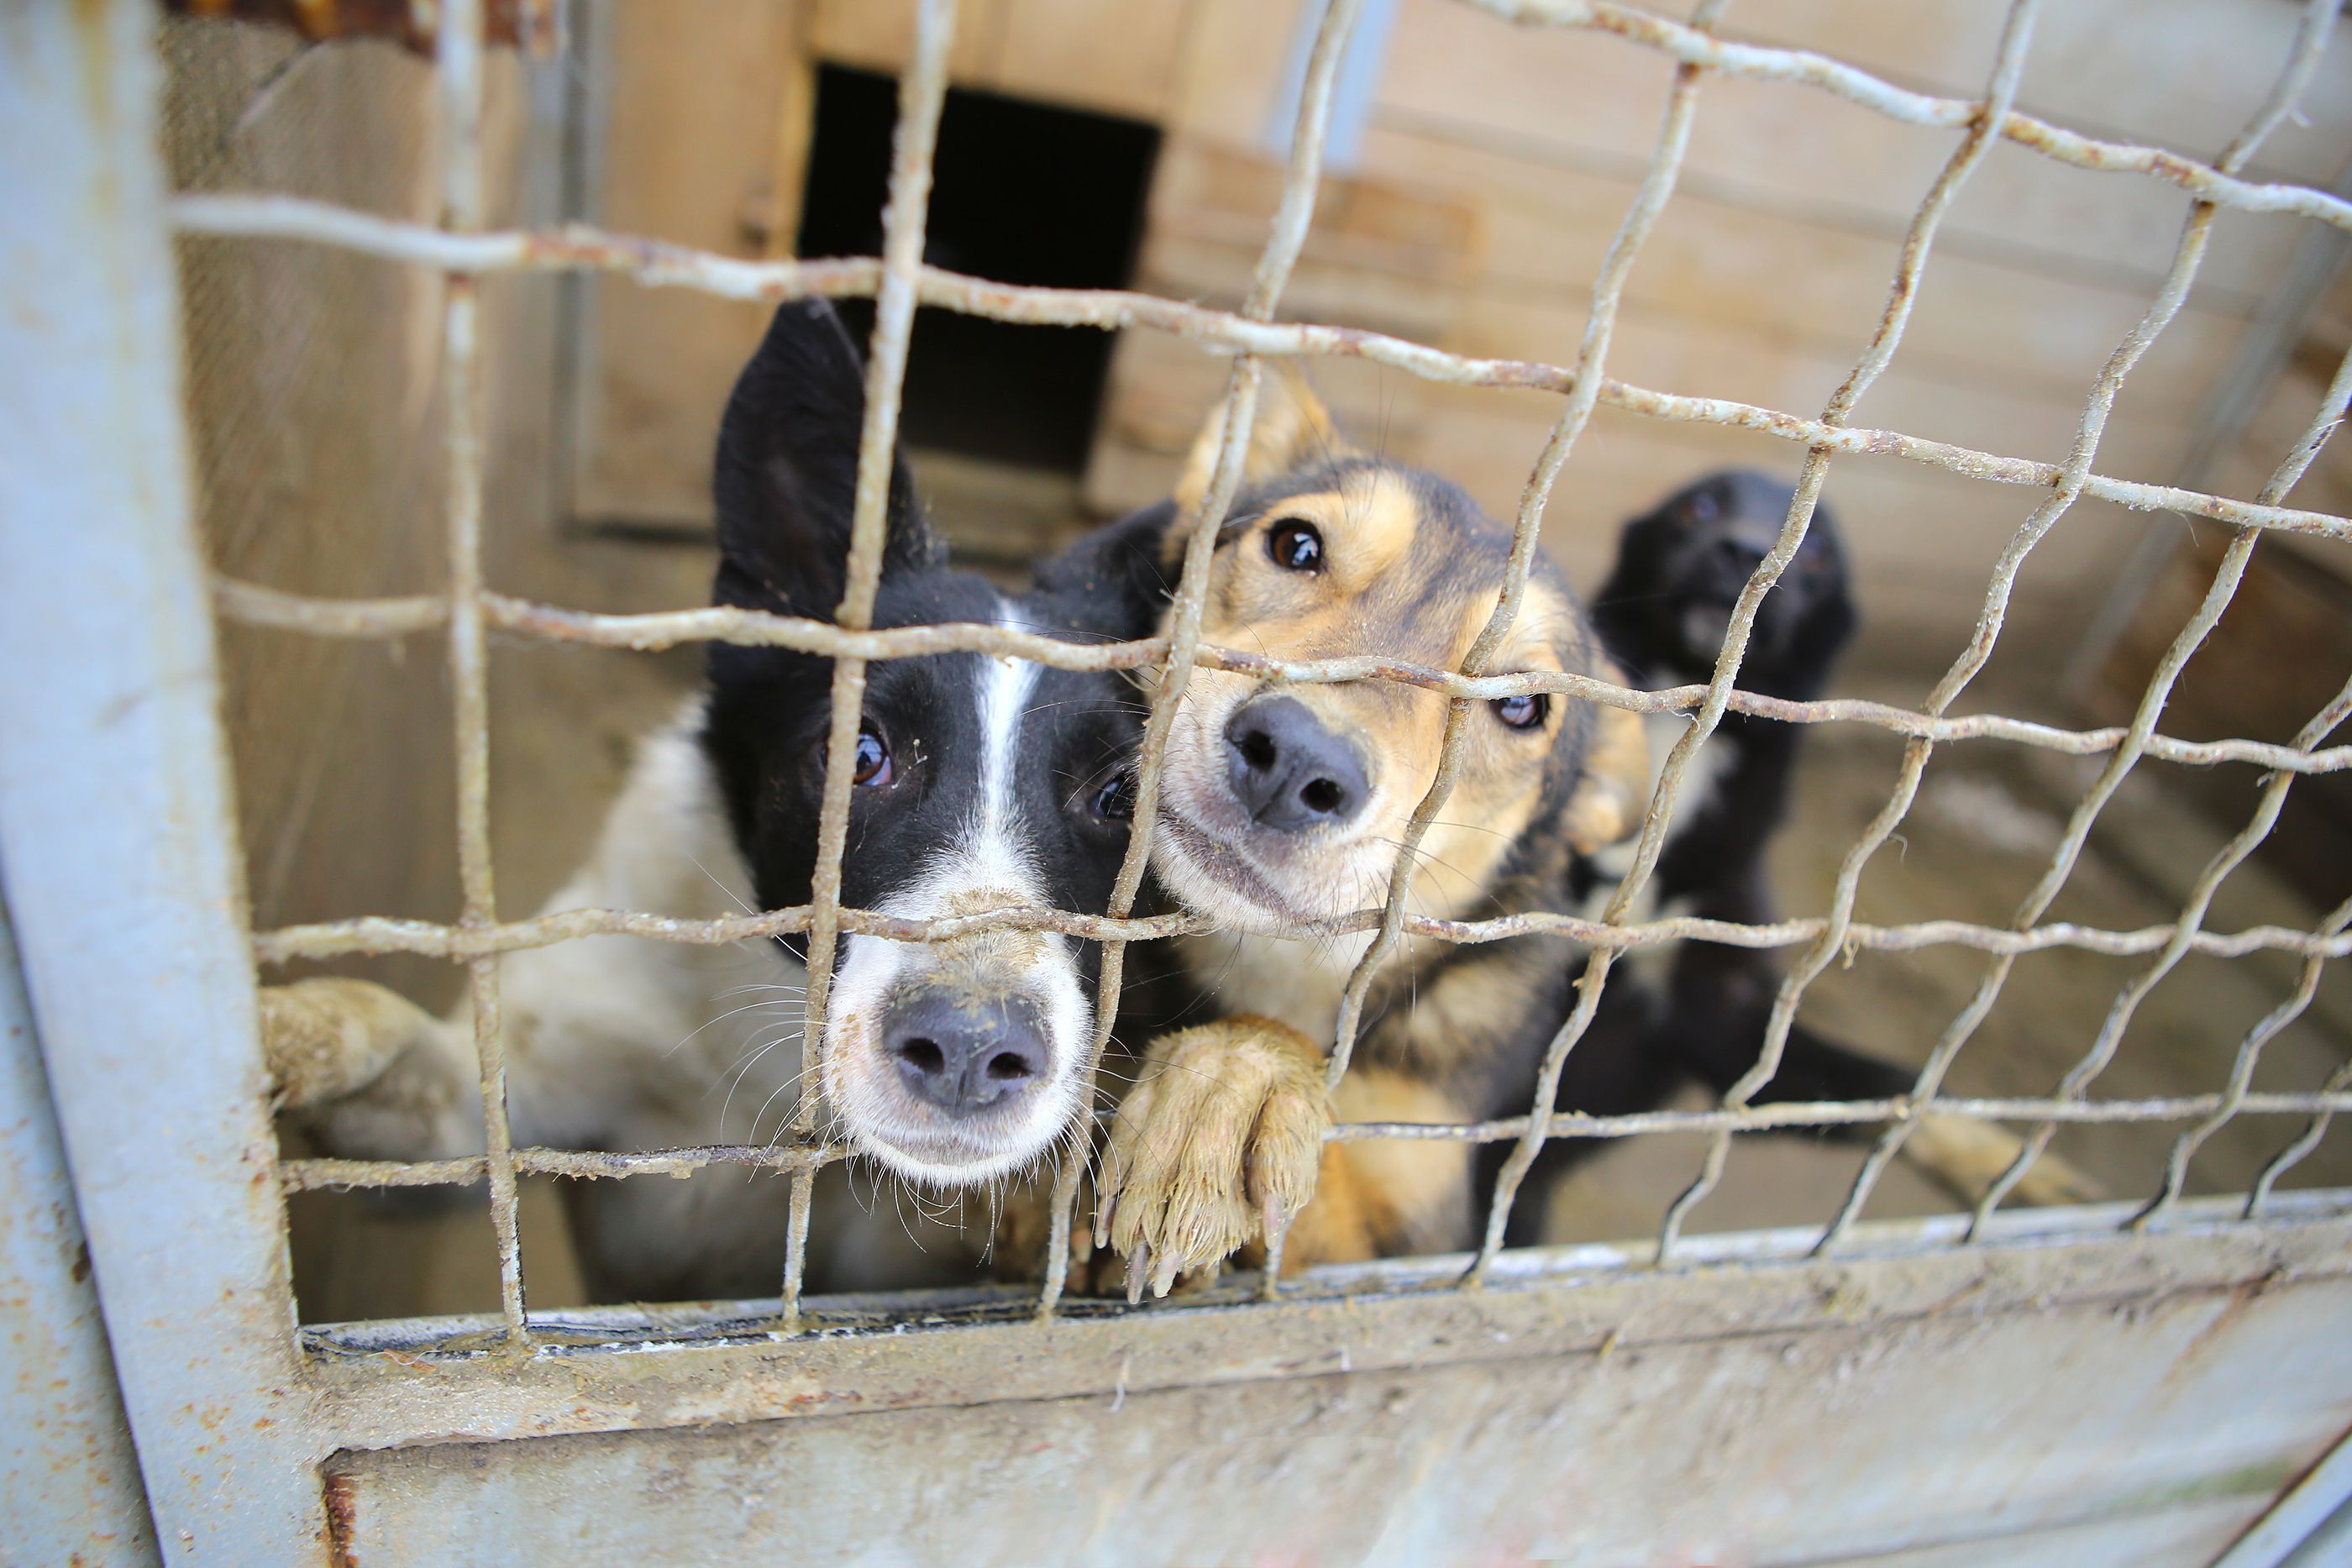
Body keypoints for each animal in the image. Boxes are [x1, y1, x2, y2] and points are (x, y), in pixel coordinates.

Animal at [262, 303, 1152, 1298]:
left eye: (1121, 794)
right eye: (858, 753)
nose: (968, 1048)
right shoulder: (486, 1113)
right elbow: (413, 1071)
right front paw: (289, 1027)